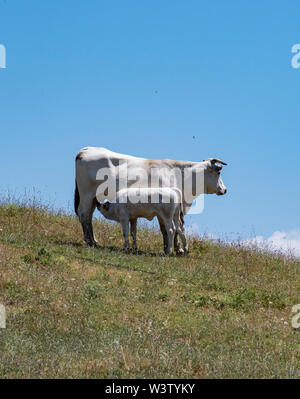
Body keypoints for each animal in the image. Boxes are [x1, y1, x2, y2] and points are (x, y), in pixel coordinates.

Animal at [75, 147, 227, 253]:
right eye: (219, 172)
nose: (224, 190)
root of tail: (84, 150)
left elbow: (174, 229)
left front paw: (176, 248)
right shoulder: (163, 212)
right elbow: (166, 229)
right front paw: (172, 249)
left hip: (93, 198)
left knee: (88, 216)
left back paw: (94, 240)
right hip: (86, 195)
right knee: (84, 214)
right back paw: (89, 241)